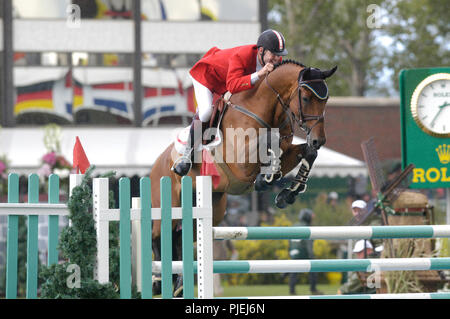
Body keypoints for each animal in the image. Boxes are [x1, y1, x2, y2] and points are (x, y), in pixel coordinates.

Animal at [149, 59, 336, 296]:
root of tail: (157, 164)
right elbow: (267, 143)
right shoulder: (240, 161)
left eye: (326, 99)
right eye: (305, 98)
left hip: (212, 210)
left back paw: (179, 284)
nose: (319, 140)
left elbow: (306, 153)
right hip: (168, 203)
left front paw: (287, 193)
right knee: (158, 234)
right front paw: (267, 177)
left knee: (180, 239)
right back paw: (157, 280)